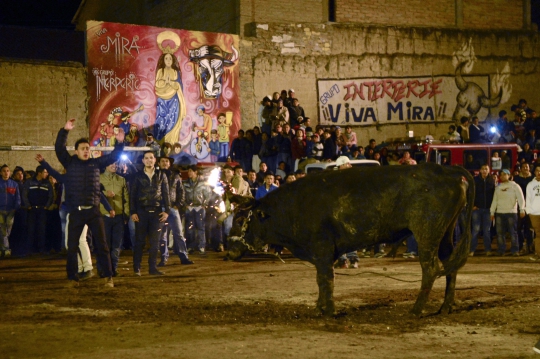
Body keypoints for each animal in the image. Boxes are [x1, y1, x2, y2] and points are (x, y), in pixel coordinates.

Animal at [226, 164, 474, 318]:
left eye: (239, 219)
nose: (228, 250)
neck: (293, 206)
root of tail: (448, 170)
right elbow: (322, 279)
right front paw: (320, 307)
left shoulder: (322, 249)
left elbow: (325, 278)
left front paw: (328, 310)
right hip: (445, 234)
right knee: (450, 267)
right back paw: (445, 307)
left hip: (427, 234)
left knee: (431, 269)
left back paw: (416, 309)